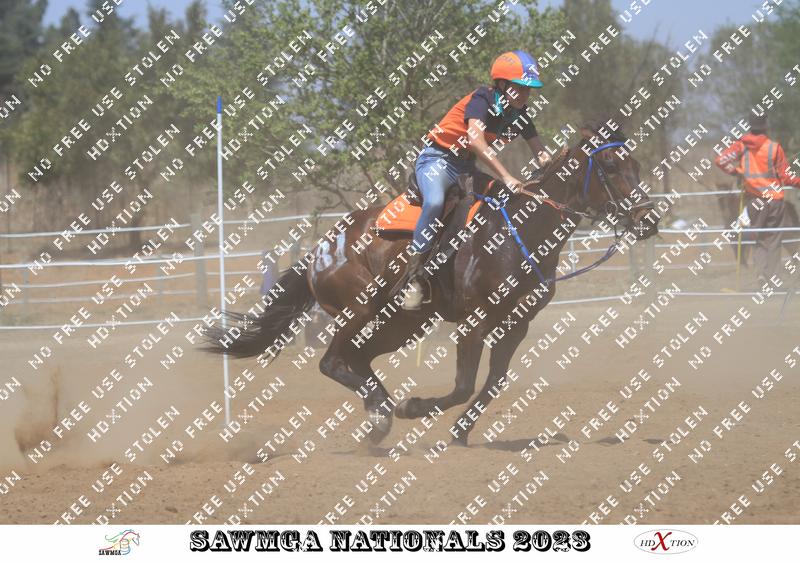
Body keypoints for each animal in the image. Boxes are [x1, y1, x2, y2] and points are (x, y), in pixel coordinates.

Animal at [204, 137, 660, 447]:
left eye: (636, 164)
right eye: (611, 167)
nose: (649, 219)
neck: (519, 230)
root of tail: (320, 250)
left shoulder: (517, 324)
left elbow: (493, 382)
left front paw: (459, 431)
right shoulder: (475, 322)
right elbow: (463, 384)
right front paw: (417, 408)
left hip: (401, 324)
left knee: (358, 360)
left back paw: (380, 415)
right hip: (360, 312)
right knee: (332, 361)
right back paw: (386, 412)